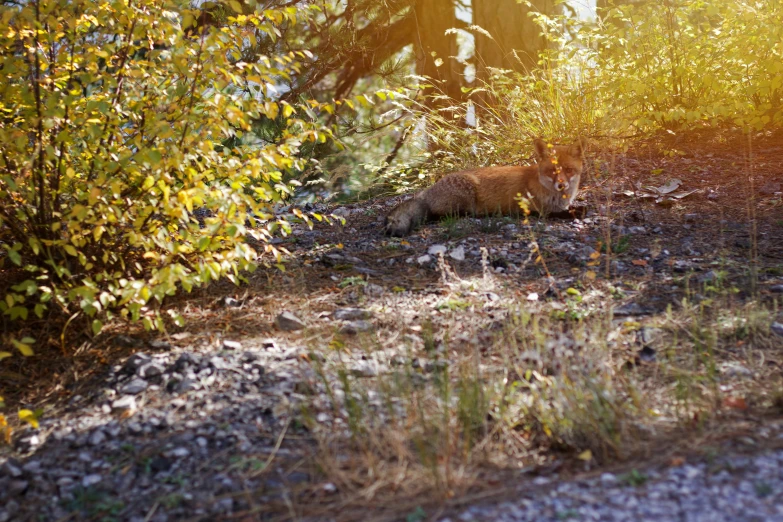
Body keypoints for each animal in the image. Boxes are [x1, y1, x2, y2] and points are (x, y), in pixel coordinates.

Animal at [382, 137, 584, 237]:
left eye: (568, 170)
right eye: (552, 171)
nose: (561, 185)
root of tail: (427, 191)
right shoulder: (535, 210)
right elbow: (562, 213)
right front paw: (576, 212)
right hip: (466, 195)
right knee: (442, 215)